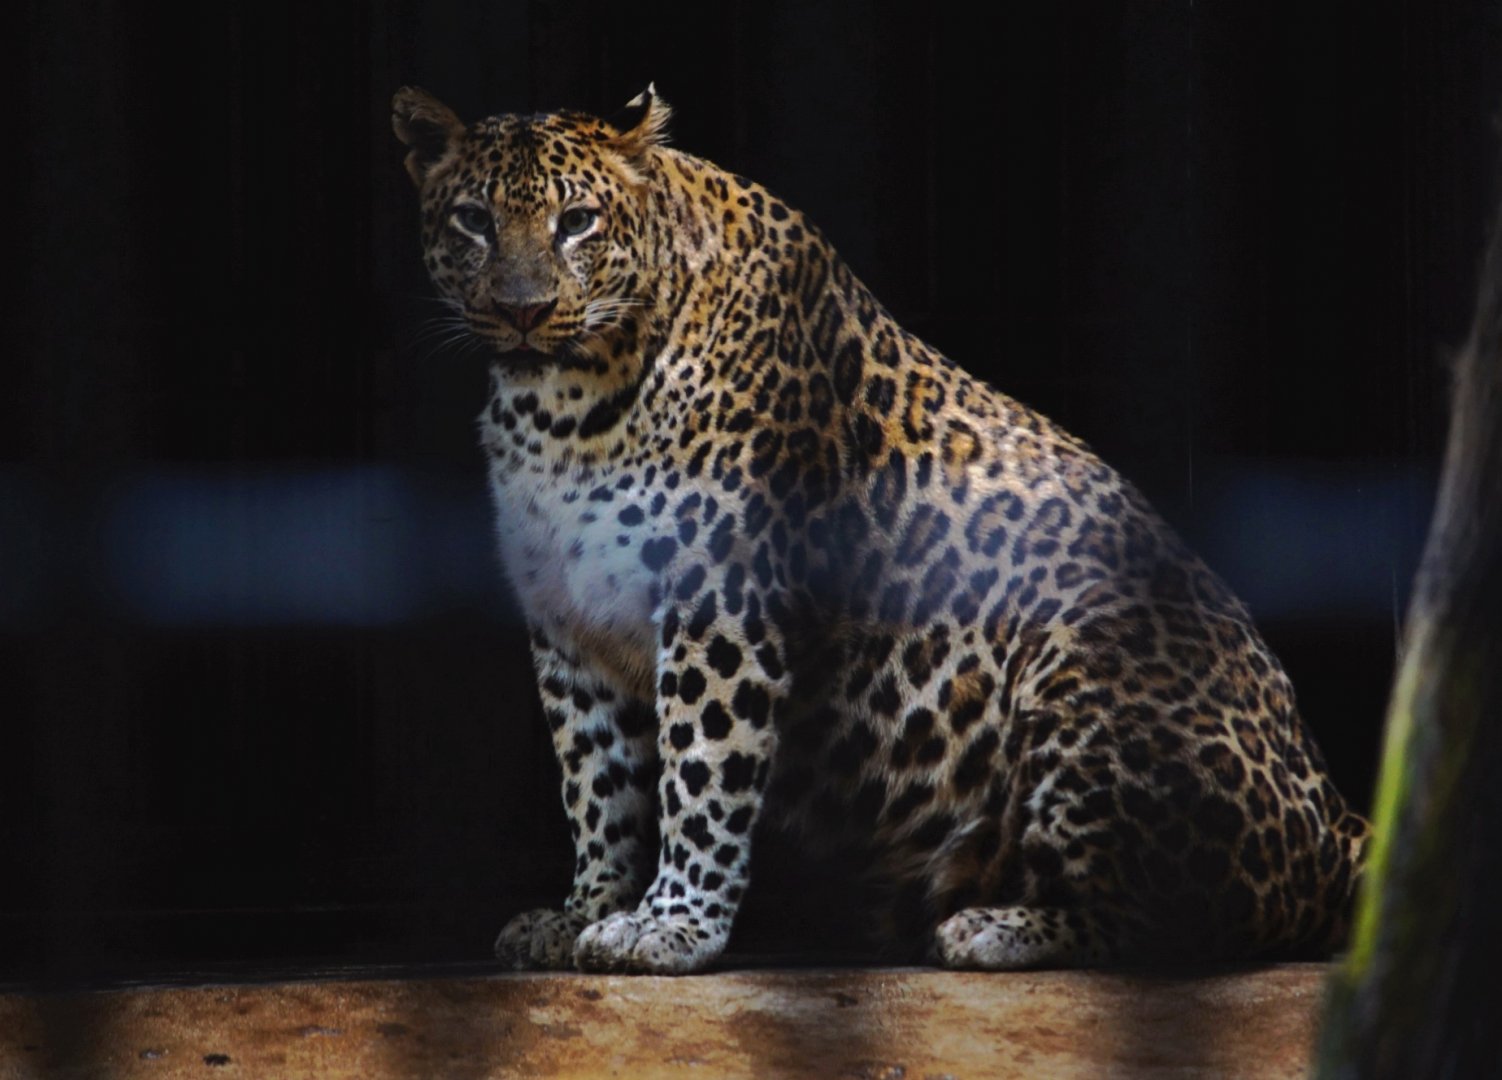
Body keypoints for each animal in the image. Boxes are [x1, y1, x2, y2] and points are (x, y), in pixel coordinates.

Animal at [392, 84, 1370, 975]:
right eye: (475, 220)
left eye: (578, 222)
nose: (522, 309)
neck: (563, 406)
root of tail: (1335, 819)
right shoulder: (568, 625)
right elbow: (596, 781)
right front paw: (584, 910)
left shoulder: (720, 604)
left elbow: (699, 771)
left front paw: (670, 927)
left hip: (1079, 660)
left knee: (1178, 924)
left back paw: (996, 928)